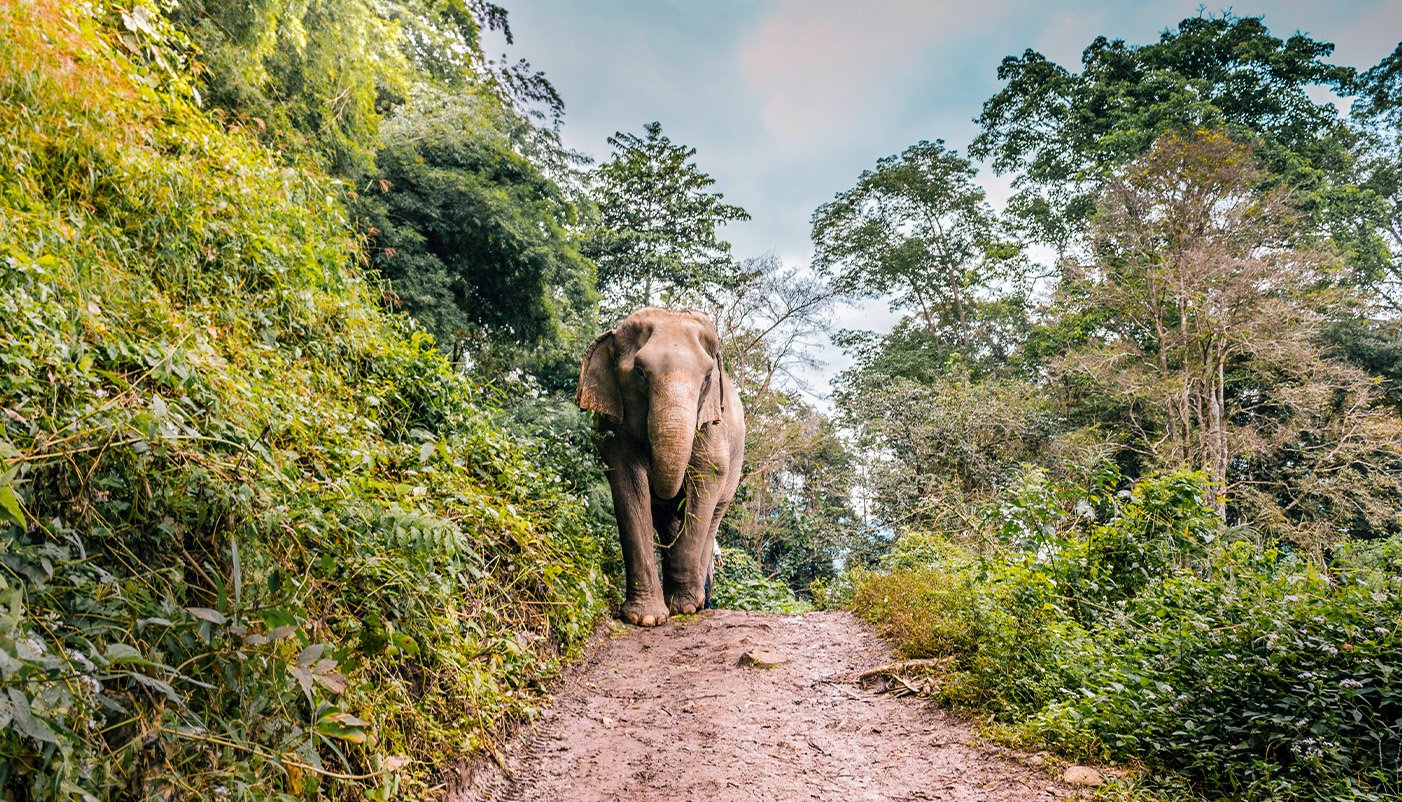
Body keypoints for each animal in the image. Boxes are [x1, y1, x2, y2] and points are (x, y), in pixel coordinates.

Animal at [574, 307, 745, 625]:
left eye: (706, 378)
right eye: (640, 373)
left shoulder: (711, 424)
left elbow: (708, 475)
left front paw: (685, 608)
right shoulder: (615, 429)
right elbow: (628, 483)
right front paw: (645, 618)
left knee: (713, 516)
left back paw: (696, 602)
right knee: (667, 521)